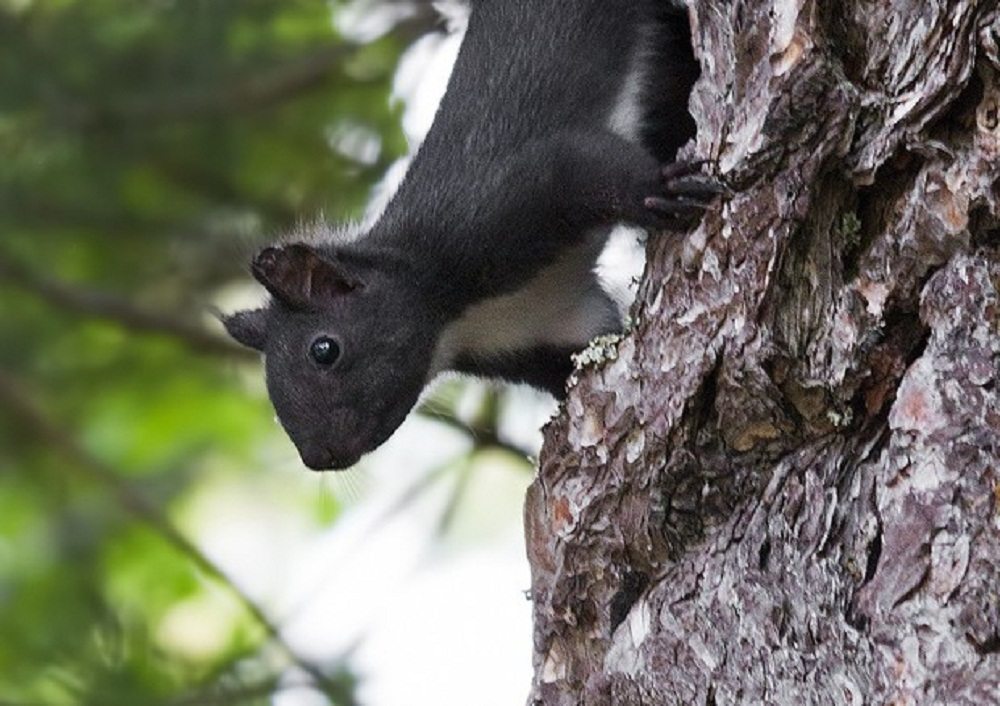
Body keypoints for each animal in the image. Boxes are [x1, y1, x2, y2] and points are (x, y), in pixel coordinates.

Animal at [221, 4, 720, 472]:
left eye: (323, 350)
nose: (318, 457)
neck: (457, 317)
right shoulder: (546, 330)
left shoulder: (497, 204)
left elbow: (584, 167)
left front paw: (657, 190)